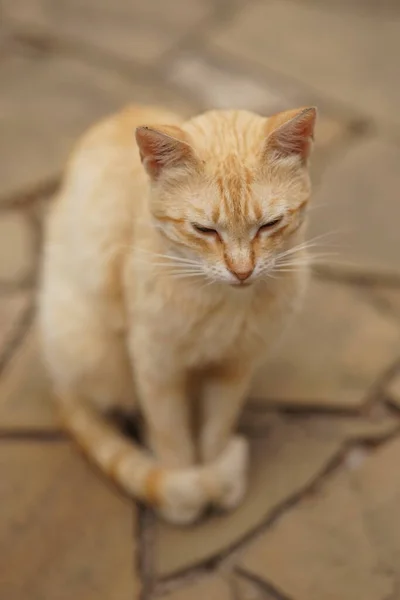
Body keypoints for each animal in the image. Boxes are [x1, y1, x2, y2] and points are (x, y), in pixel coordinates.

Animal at [39, 104, 318, 524]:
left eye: (269, 224)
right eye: (205, 230)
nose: (242, 271)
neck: (225, 304)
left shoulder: (234, 367)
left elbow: (217, 429)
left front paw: (217, 476)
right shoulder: (157, 368)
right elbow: (172, 437)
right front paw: (188, 489)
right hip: (94, 352)